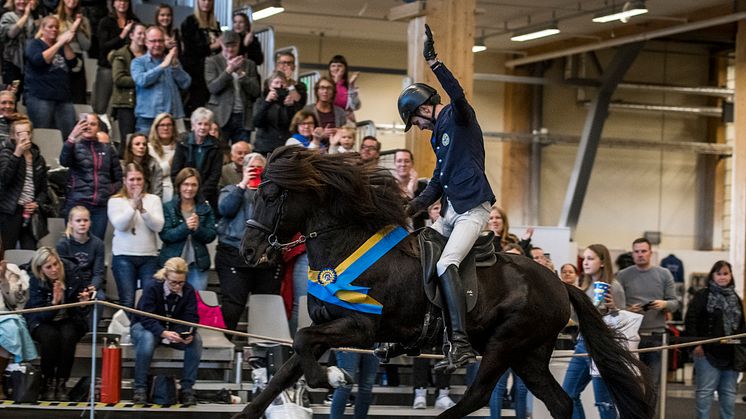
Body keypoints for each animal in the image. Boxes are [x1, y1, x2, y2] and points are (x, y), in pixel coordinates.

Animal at [234, 146, 652, 418]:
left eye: (270, 195)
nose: (248, 251)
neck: (344, 245)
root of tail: (559, 283)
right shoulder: (329, 326)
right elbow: (288, 366)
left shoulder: (360, 326)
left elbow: (303, 346)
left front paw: (333, 377)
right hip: (529, 353)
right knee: (559, 402)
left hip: (506, 342)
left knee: (479, 395)